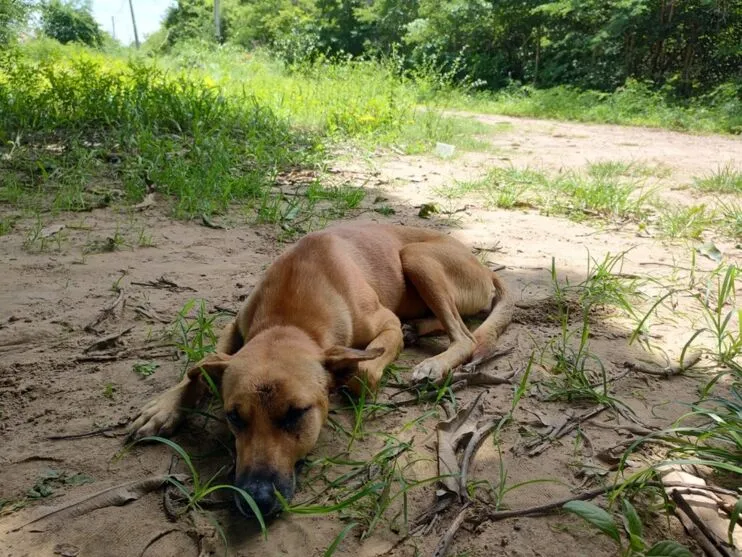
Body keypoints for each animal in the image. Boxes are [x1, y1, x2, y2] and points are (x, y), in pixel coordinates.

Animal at [128, 222, 512, 516]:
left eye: (297, 414)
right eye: (234, 417)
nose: (255, 500)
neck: (291, 317)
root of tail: (485, 267)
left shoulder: (384, 322)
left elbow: (365, 367)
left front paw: (355, 377)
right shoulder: (235, 326)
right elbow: (200, 365)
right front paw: (164, 407)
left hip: (416, 257)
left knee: (463, 335)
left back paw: (433, 363)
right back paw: (417, 328)